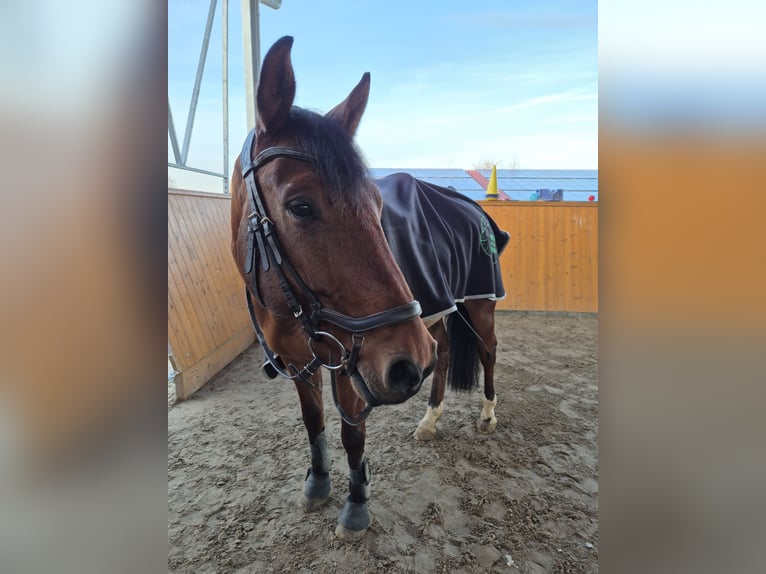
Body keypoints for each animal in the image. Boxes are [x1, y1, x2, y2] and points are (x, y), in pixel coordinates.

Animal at [230, 36, 508, 541]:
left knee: (487, 352)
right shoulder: (300, 364)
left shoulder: (351, 364)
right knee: (441, 357)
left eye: (378, 205)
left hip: (476, 306)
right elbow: (314, 423)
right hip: (434, 317)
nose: (406, 364)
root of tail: (474, 208)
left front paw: (355, 505)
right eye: (300, 206)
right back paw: (430, 419)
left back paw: (487, 415)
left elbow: (350, 434)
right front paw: (317, 484)